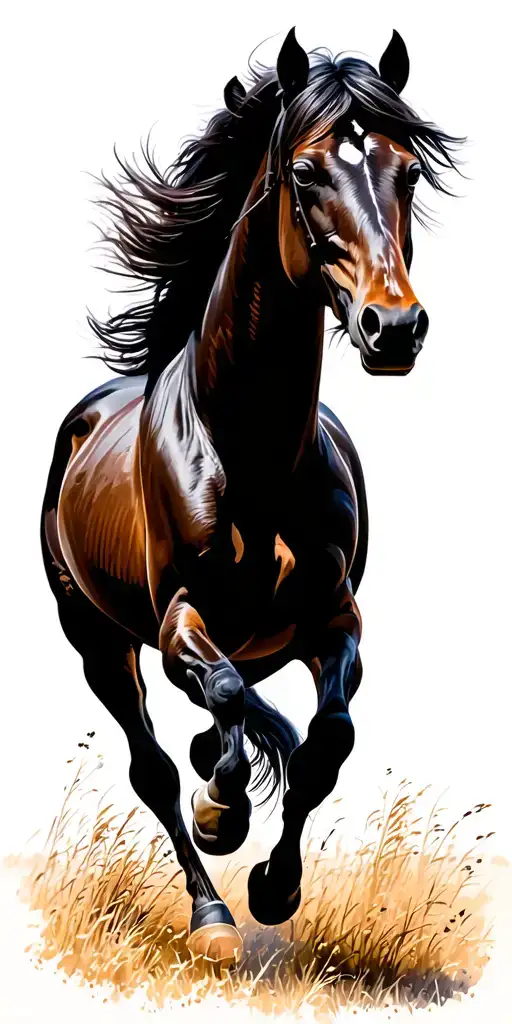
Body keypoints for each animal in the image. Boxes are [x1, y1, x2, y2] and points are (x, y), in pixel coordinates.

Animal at [41, 28, 463, 964]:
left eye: (411, 170)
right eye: (305, 173)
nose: (394, 329)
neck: (256, 456)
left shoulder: (334, 619)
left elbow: (325, 742)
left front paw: (276, 884)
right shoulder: (177, 622)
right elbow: (228, 700)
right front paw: (223, 817)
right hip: (98, 642)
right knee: (155, 767)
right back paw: (210, 911)